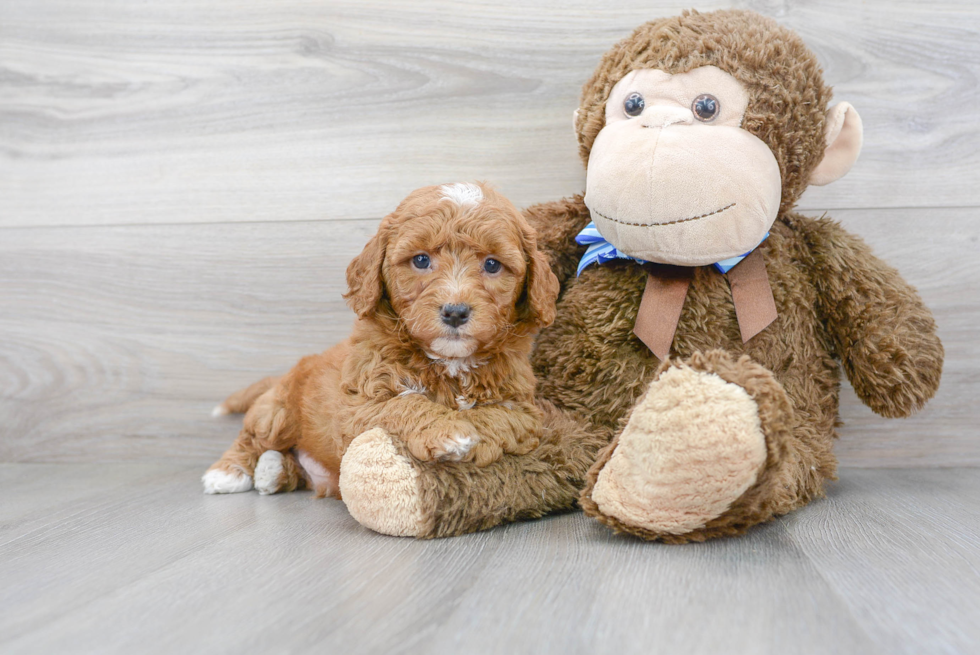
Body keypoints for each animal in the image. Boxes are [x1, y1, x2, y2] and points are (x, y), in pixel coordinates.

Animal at [201, 182, 560, 500]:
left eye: (492, 264)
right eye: (420, 260)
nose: (455, 312)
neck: (449, 362)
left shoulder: (524, 409)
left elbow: (496, 416)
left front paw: (468, 435)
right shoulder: (357, 407)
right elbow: (405, 403)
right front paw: (450, 432)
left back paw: (274, 471)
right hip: (279, 410)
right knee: (254, 436)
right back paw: (229, 471)